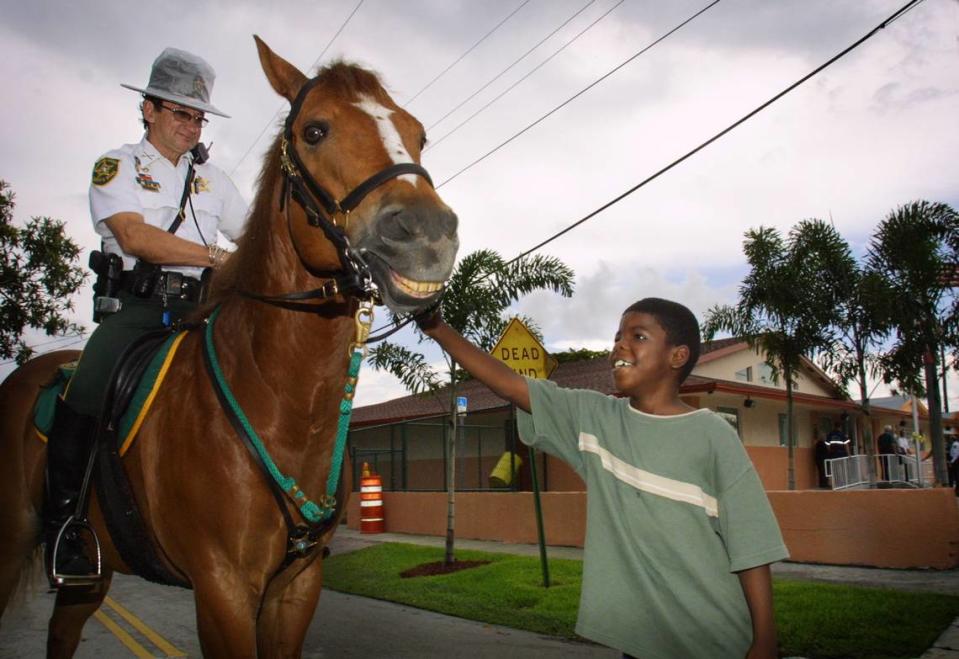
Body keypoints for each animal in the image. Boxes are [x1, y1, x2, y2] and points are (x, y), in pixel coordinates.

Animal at [0, 37, 462, 659]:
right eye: (315, 130)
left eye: (418, 134)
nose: (428, 234)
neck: (283, 405)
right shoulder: (222, 591)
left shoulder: (296, 587)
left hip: (88, 577)